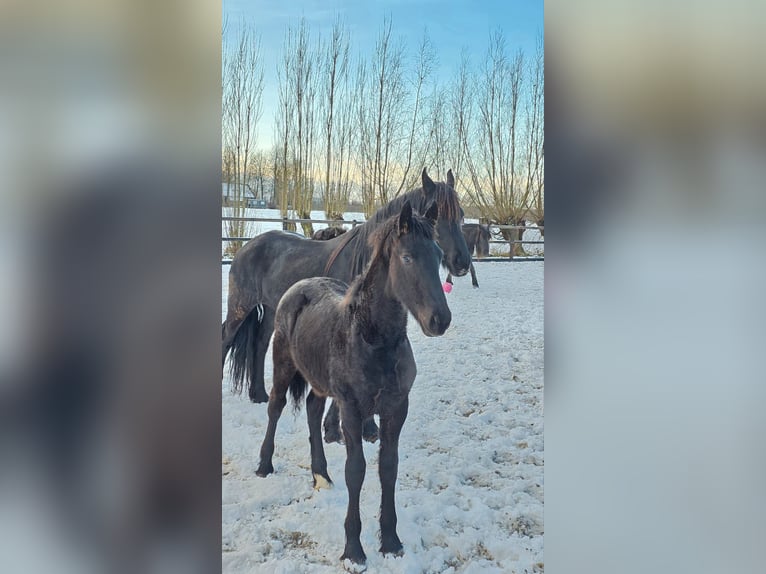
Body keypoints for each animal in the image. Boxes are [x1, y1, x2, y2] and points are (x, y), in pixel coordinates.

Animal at [222, 168, 471, 441]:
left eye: (461, 215)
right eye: (439, 218)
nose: (463, 261)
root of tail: (248, 244)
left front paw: (366, 428)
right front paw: (335, 429)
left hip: (270, 310)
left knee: (260, 343)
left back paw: (259, 394)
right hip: (240, 305)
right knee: (226, 337)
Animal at [255, 201, 449, 568]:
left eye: (438, 254)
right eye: (407, 257)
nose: (440, 320)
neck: (373, 340)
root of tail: (299, 286)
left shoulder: (395, 408)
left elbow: (388, 467)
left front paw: (391, 541)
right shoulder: (351, 408)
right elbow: (356, 470)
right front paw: (354, 550)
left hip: (318, 381)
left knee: (313, 412)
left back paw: (320, 476)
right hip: (284, 364)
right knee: (275, 407)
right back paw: (264, 465)